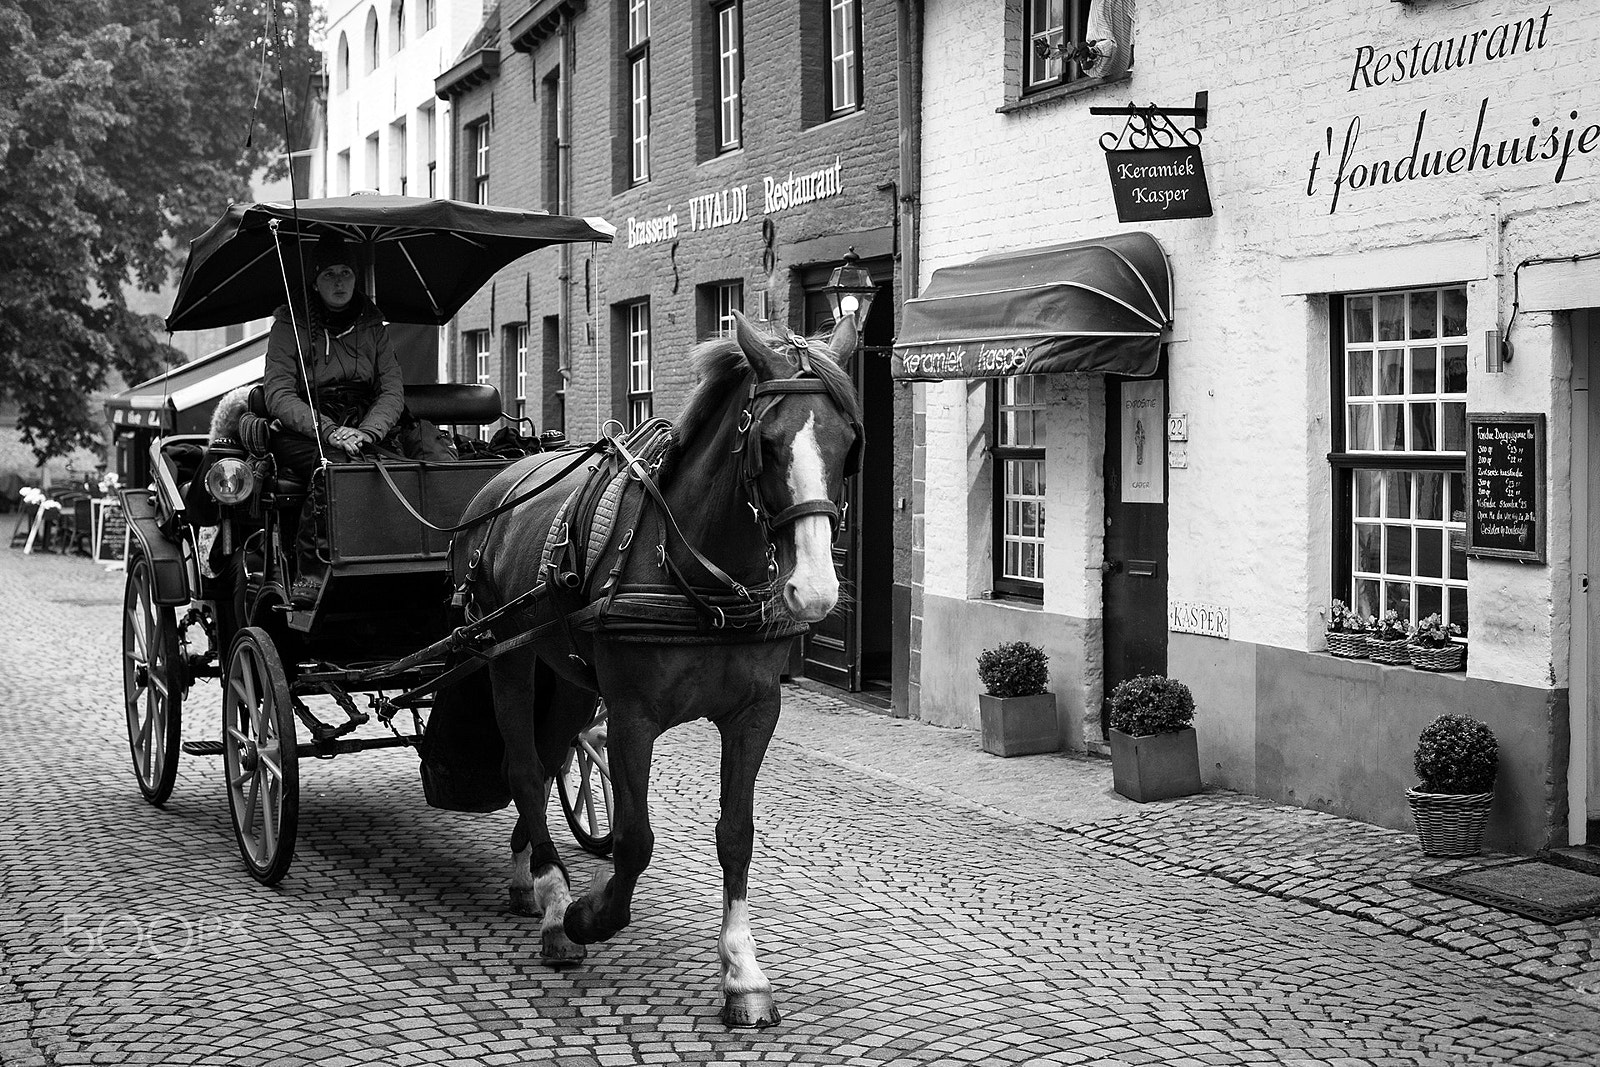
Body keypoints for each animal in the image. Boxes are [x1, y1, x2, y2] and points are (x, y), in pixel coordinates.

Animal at [457, 310, 864, 1023]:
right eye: (767, 442)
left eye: (848, 443)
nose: (814, 591)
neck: (702, 574)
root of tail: (503, 479)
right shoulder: (631, 717)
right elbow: (634, 838)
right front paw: (588, 914)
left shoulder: (754, 712)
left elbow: (736, 834)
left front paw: (742, 972)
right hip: (507, 659)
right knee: (525, 768)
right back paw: (554, 904)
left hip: (567, 677)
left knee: (547, 752)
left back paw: (528, 878)